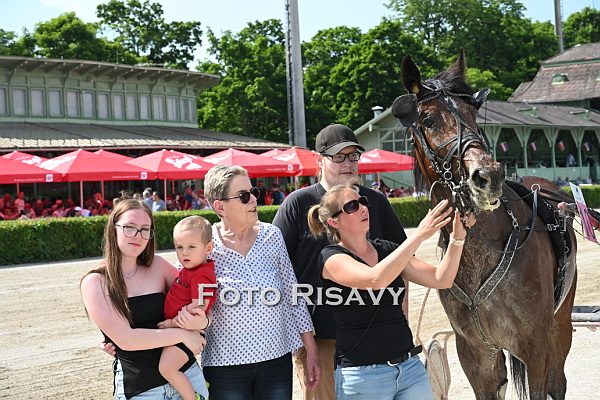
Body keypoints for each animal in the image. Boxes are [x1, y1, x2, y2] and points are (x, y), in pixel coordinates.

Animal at [391, 51, 578, 400]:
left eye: (474, 117)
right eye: (429, 120)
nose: (488, 176)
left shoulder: (537, 344)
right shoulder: (475, 353)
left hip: (560, 325)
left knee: (558, 382)